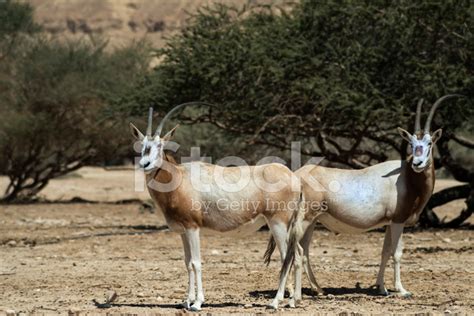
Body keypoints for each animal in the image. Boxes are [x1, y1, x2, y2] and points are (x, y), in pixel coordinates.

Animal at [129, 104, 304, 312]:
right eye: (141, 145)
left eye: (160, 145)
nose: (145, 164)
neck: (180, 179)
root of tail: (294, 178)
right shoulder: (183, 231)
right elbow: (187, 263)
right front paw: (186, 301)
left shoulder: (193, 228)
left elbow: (196, 263)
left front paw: (197, 303)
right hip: (287, 225)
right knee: (299, 254)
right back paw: (294, 300)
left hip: (278, 223)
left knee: (287, 256)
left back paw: (276, 301)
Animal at [268, 94, 462, 308]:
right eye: (411, 143)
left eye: (429, 143)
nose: (417, 163)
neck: (406, 177)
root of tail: (297, 175)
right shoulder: (398, 221)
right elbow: (397, 253)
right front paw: (401, 290)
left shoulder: (389, 223)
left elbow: (385, 251)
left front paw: (382, 288)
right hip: (304, 220)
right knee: (297, 251)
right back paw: (294, 297)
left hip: (310, 222)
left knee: (304, 251)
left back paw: (316, 291)